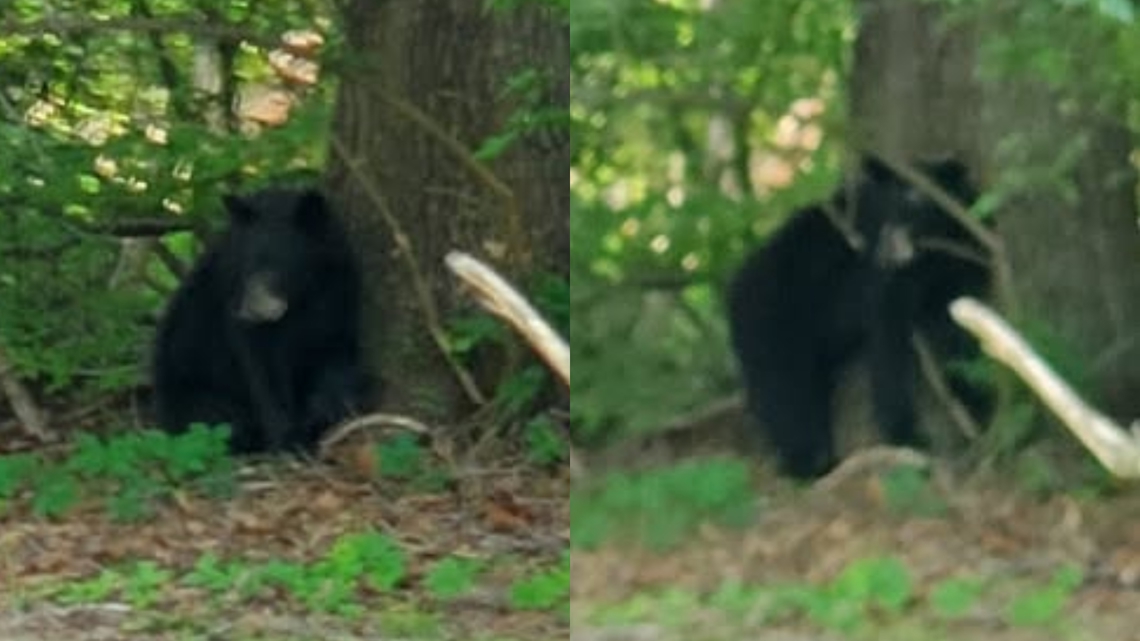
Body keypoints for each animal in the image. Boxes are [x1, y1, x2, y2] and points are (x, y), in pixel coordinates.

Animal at [152, 186, 370, 454]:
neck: (301, 298)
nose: (246, 311)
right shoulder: (240, 311)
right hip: (192, 388)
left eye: (279, 265)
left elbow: (334, 348)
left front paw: (329, 409)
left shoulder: (338, 292)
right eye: (247, 263)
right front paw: (289, 438)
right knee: (214, 417)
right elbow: (263, 370)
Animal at [726, 156, 990, 479]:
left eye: (920, 197)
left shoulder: (963, 266)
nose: (892, 244)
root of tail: (734, 289)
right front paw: (906, 434)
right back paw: (813, 462)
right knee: (786, 394)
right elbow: (888, 340)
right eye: (893, 198)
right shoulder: (884, 282)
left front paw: (975, 402)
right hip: (773, 323)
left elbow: (962, 333)